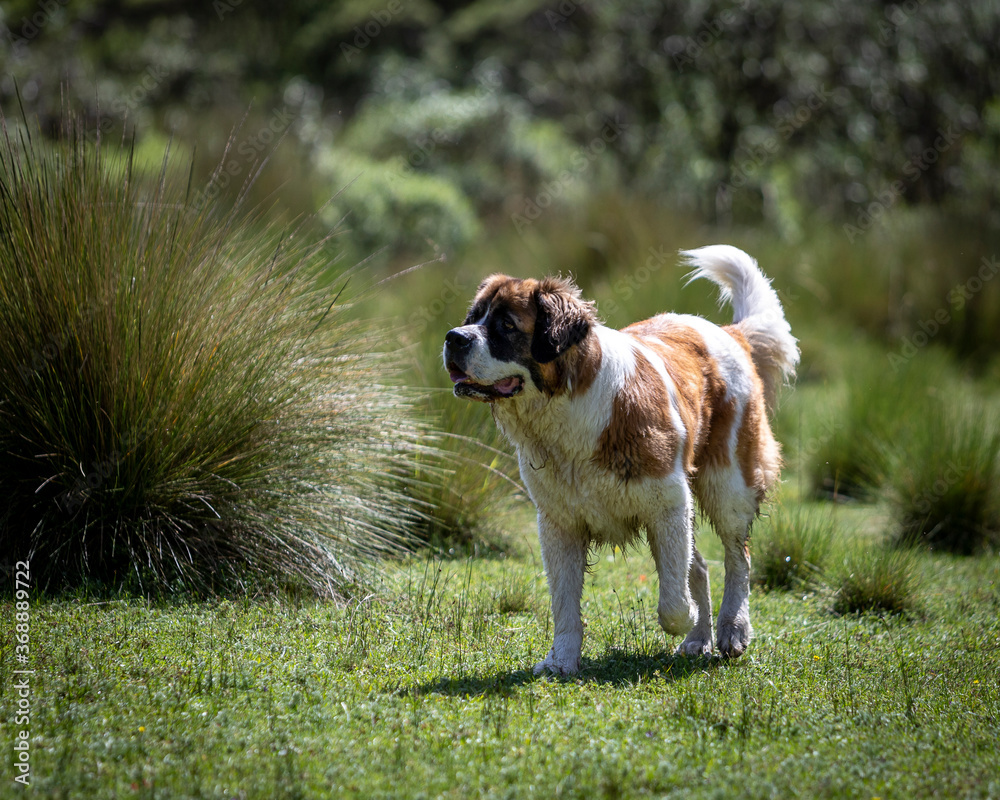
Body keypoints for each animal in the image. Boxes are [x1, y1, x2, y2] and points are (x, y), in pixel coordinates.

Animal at [444, 245, 796, 676]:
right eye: (472, 318)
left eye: (506, 325)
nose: (453, 338)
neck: (567, 406)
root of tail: (730, 333)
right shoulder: (558, 522)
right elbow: (564, 603)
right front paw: (562, 659)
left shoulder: (668, 502)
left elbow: (673, 600)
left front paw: (687, 619)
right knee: (699, 566)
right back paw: (700, 639)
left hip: (727, 483)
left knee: (737, 559)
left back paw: (733, 630)